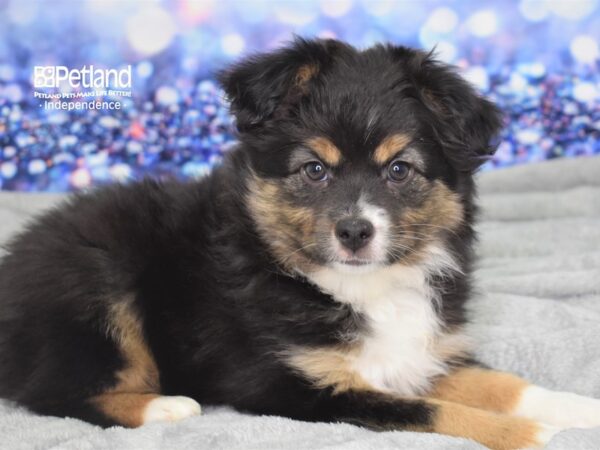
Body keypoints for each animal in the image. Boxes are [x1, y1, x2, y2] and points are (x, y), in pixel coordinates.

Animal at [1, 39, 600, 450]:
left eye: (399, 169)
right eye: (314, 169)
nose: (355, 231)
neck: (360, 288)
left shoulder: (425, 352)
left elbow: (501, 383)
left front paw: (577, 410)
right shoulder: (297, 385)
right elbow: (434, 413)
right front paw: (539, 435)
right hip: (96, 283)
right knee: (55, 395)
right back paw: (167, 408)